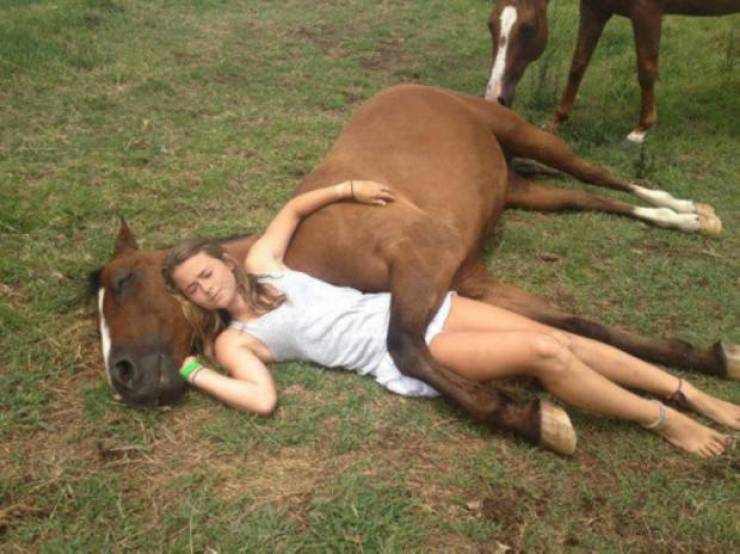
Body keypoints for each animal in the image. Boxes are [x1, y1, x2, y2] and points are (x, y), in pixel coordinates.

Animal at [485, 0, 740, 142]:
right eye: (490, 24)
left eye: (528, 27)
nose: (493, 98)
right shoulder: (594, 10)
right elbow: (578, 65)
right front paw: (556, 120)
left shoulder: (647, 13)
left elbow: (646, 69)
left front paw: (642, 129)